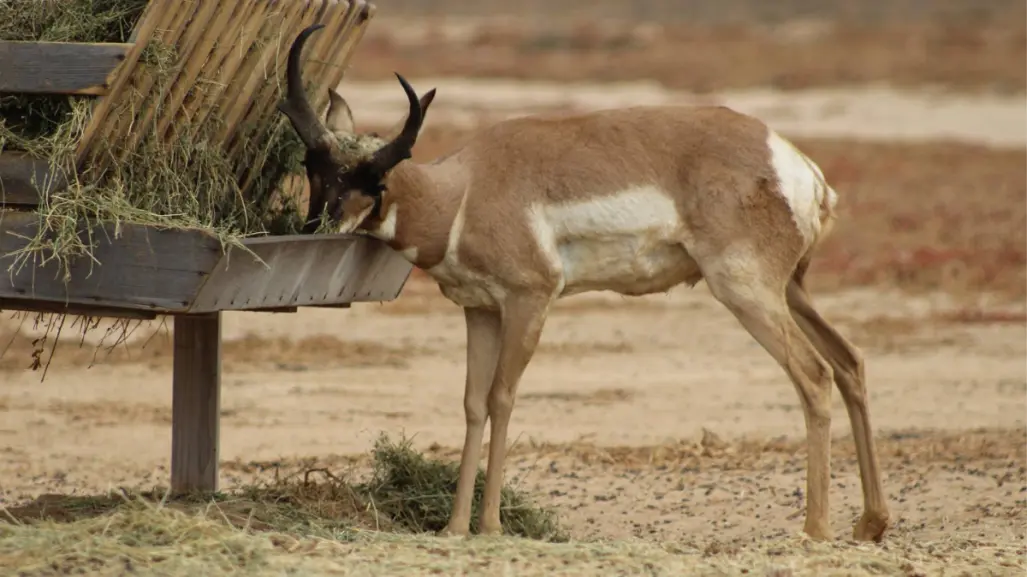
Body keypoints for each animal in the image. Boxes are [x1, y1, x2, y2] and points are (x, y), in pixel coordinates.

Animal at [279, 24, 891, 542]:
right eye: (314, 165)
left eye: (375, 178)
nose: (315, 230)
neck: (467, 189)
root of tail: (796, 165)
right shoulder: (480, 311)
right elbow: (473, 403)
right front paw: (453, 527)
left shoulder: (530, 302)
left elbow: (502, 397)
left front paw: (491, 526)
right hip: (792, 291)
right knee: (849, 362)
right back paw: (870, 524)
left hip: (747, 293)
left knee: (813, 374)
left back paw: (815, 530)